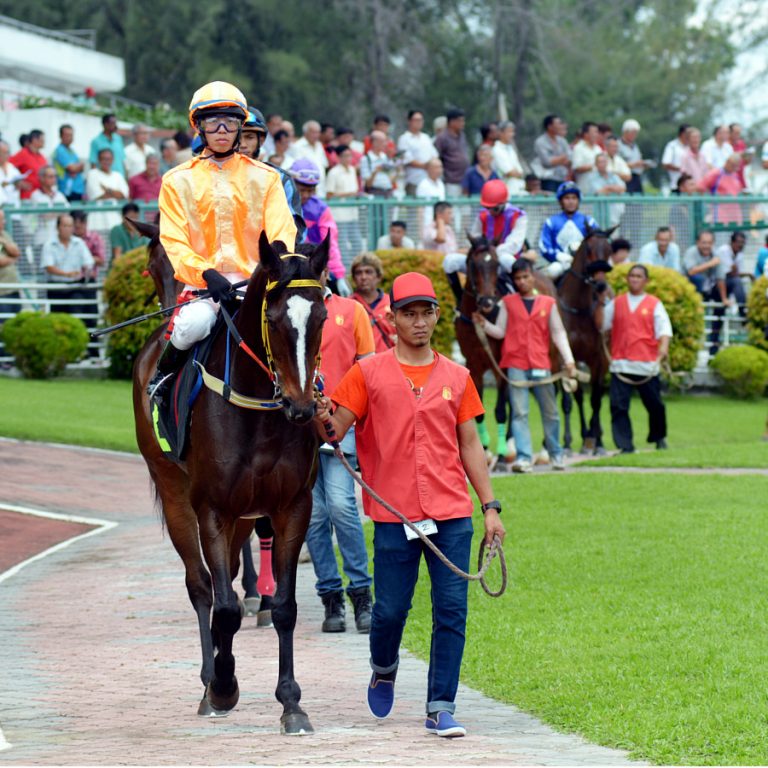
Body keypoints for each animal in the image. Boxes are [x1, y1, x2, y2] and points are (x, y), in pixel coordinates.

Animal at [133, 232, 330, 732]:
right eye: (274, 319)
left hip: (244, 514)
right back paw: (210, 681)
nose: (302, 408)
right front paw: (223, 686)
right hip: (176, 495)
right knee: (202, 587)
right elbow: (222, 606)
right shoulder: (213, 510)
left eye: (321, 316)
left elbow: (284, 607)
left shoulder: (292, 507)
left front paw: (291, 701)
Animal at [556, 228, 616, 456]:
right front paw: (568, 442)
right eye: (588, 249)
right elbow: (571, 400)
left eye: (609, 249)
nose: (600, 285)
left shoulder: (598, 359)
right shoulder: (565, 358)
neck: (579, 309)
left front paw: (597, 441)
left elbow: (596, 399)